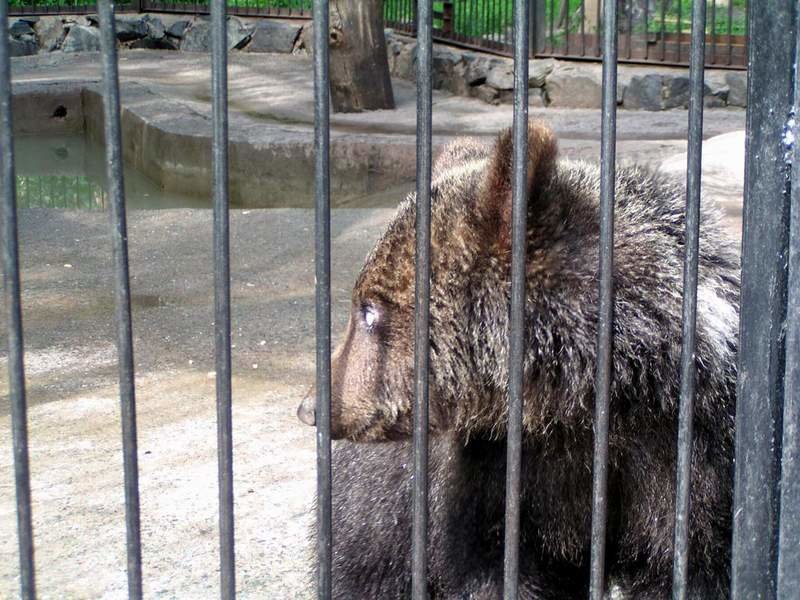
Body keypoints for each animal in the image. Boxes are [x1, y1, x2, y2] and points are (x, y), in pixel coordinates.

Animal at [298, 122, 736, 600]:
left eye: (370, 309)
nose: (311, 407)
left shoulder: (684, 453)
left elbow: (688, 565)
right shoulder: (490, 478)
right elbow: (495, 566)